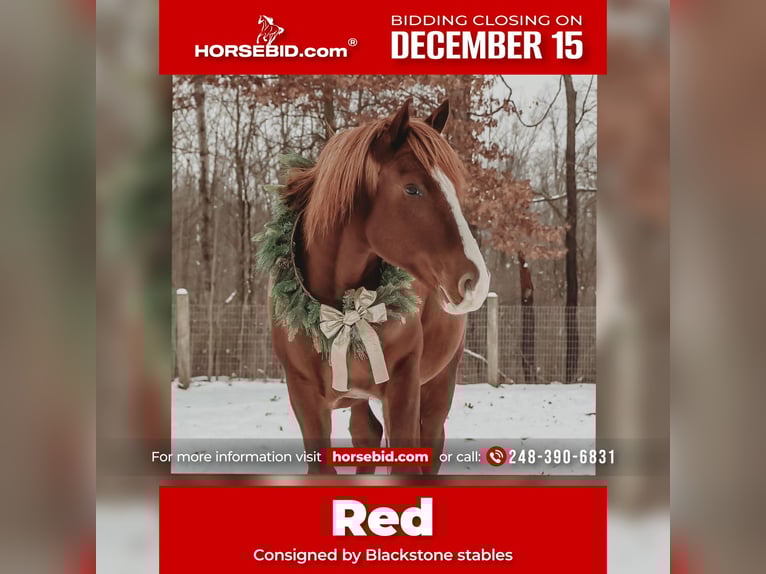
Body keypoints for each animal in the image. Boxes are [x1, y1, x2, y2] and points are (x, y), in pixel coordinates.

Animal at [271, 99, 490, 474]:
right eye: (412, 188)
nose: (475, 280)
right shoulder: (304, 397)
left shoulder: (403, 387)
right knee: (366, 434)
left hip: (440, 381)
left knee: (431, 437)